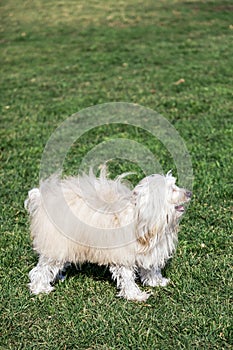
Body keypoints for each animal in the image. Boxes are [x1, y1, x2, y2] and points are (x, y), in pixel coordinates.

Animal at [25, 167, 191, 300]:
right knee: (42, 269)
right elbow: (127, 277)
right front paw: (135, 296)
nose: (189, 193)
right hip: (56, 243)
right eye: (173, 189)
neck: (140, 217)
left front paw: (156, 282)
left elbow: (150, 269)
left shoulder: (149, 252)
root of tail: (42, 199)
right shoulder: (123, 256)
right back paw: (40, 288)